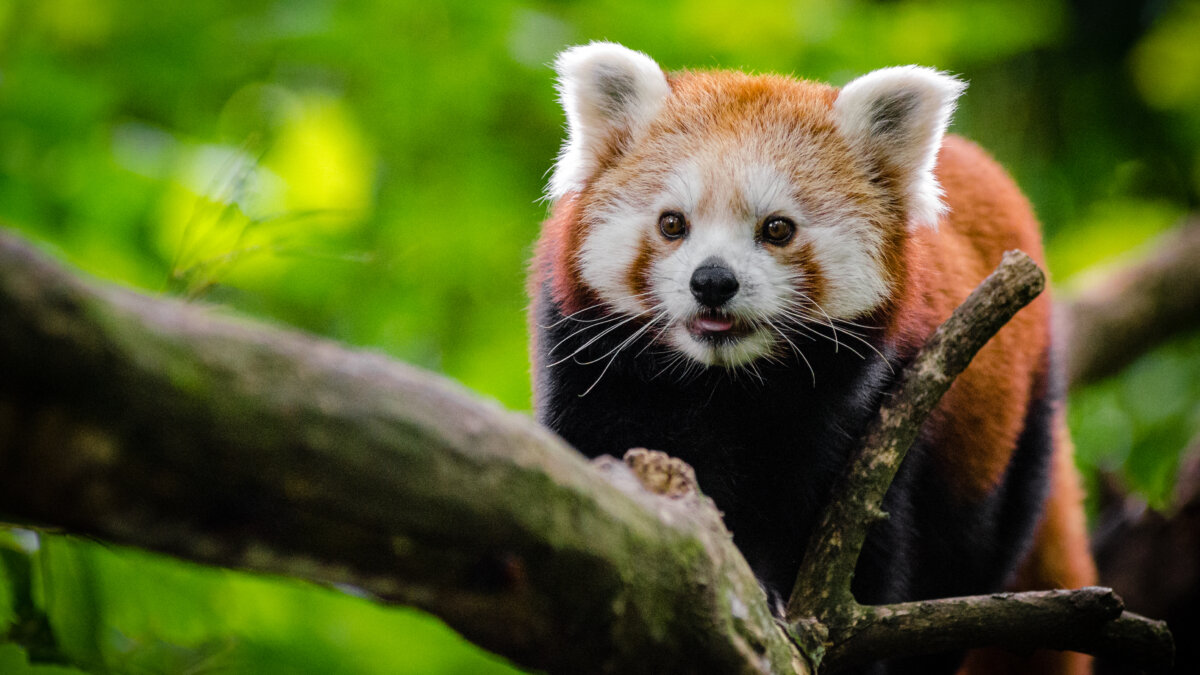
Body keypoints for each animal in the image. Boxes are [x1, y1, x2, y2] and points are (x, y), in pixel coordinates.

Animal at [530, 43, 1094, 672]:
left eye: (777, 228)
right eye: (672, 224)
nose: (712, 281)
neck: (720, 384)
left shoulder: (875, 415)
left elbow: (865, 558)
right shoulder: (591, 373)